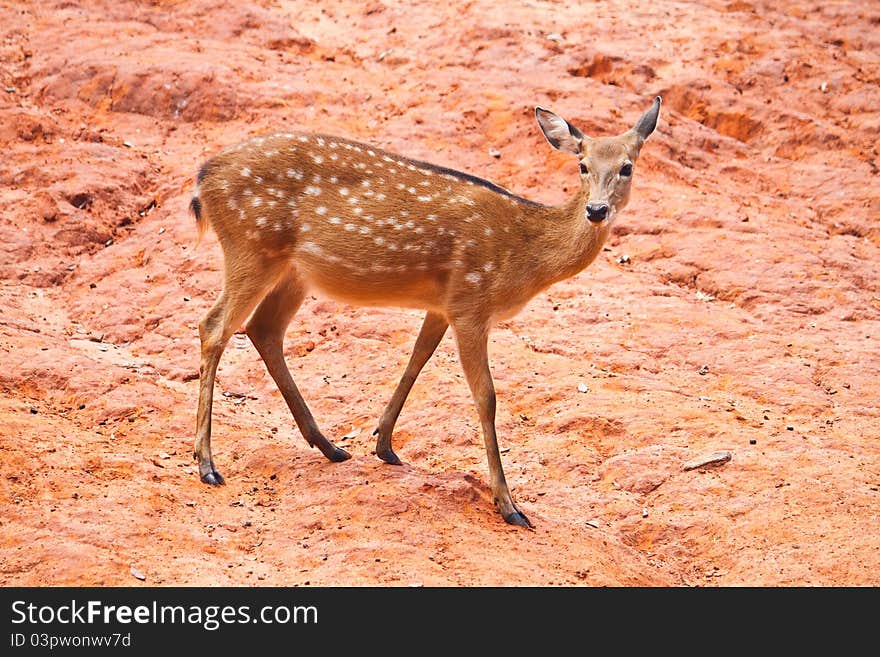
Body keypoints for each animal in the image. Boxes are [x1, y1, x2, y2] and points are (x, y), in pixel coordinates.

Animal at [192, 98, 660, 528]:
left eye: (627, 167)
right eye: (582, 165)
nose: (596, 210)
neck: (526, 257)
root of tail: (203, 179)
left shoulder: (443, 305)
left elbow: (416, 360)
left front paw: (384, 445)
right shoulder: (472, 301)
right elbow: (486, 396)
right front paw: (509, 506)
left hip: (295, 271)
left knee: (263, 329)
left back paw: (330, 446)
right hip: (252, 247)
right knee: (214, 326)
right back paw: (207, 465)